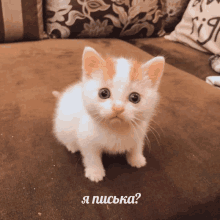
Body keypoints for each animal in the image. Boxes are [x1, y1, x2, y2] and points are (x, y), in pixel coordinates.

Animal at [52, 46, 164, 182]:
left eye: (135, 97)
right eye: (104, 93)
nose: (118, 108)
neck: (115, 129)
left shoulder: (140, 131)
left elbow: (136, 146)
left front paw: (137, 159)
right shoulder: (86, 139)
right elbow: (92, 157)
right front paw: (95, 172)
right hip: (62, 127)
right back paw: (72, 146)